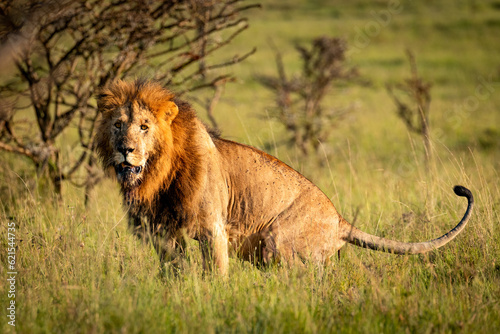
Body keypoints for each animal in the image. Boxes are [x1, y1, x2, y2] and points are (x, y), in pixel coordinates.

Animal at [95, 79, 474, 276]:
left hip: (279, 239)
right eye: (118, 125)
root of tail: (341, 221)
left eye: (145, 127)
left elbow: (215, 271)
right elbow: (172, 271)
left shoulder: (212, 226)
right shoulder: (161, 231)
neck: (156, 175)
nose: (126, 149)